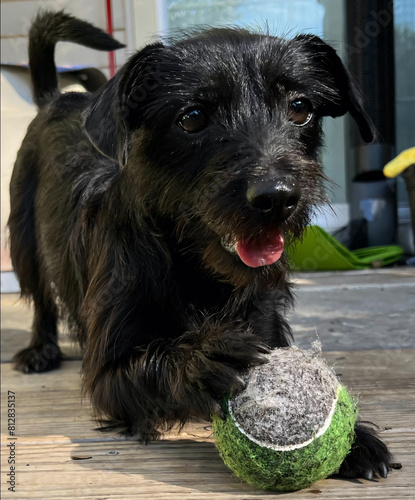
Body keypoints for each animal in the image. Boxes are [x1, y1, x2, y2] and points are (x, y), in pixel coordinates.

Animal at [8, 9, 394, 478]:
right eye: (191, 118)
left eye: (300, 108)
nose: (277, 197)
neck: (197, 269)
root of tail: (53, 100)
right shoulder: (106, 375)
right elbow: (149, 364)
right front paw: (202, 359)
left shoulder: (266, 324)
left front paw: (355, 442)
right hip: (24, 245)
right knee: (41, 301)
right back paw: (39, 349)